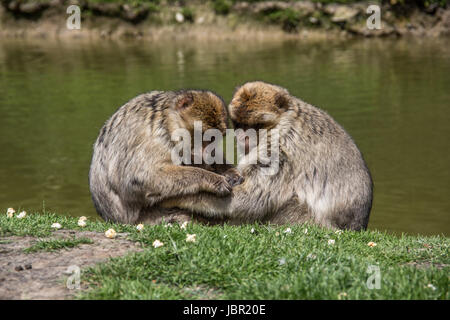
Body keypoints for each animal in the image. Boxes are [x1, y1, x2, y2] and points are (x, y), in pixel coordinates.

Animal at [88, 90, 243, 225]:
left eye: (213, 139)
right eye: (201, 136)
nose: (205, 151)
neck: (166, 123)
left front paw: (231, 172)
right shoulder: (153, 139)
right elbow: (139, 178)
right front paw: (213, 180)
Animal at [161, 80, 372, 230]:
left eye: (255, 126)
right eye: (239, 124)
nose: (243, 136)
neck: (283, 122)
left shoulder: (279, 151)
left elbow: (252, 200)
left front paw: (177, 199)